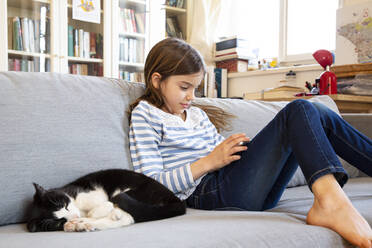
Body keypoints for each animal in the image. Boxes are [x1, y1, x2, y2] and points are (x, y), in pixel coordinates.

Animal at [26, 169, 186, 232]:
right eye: (60, 220)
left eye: (64, 205)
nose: (75, 216)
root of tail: (176, 199)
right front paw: (73, 223)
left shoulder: (88, 192)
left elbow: (104, 203)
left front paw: (93, 214)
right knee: (126, 218)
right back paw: (81, 224)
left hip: (137, 191)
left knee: (125, 214)